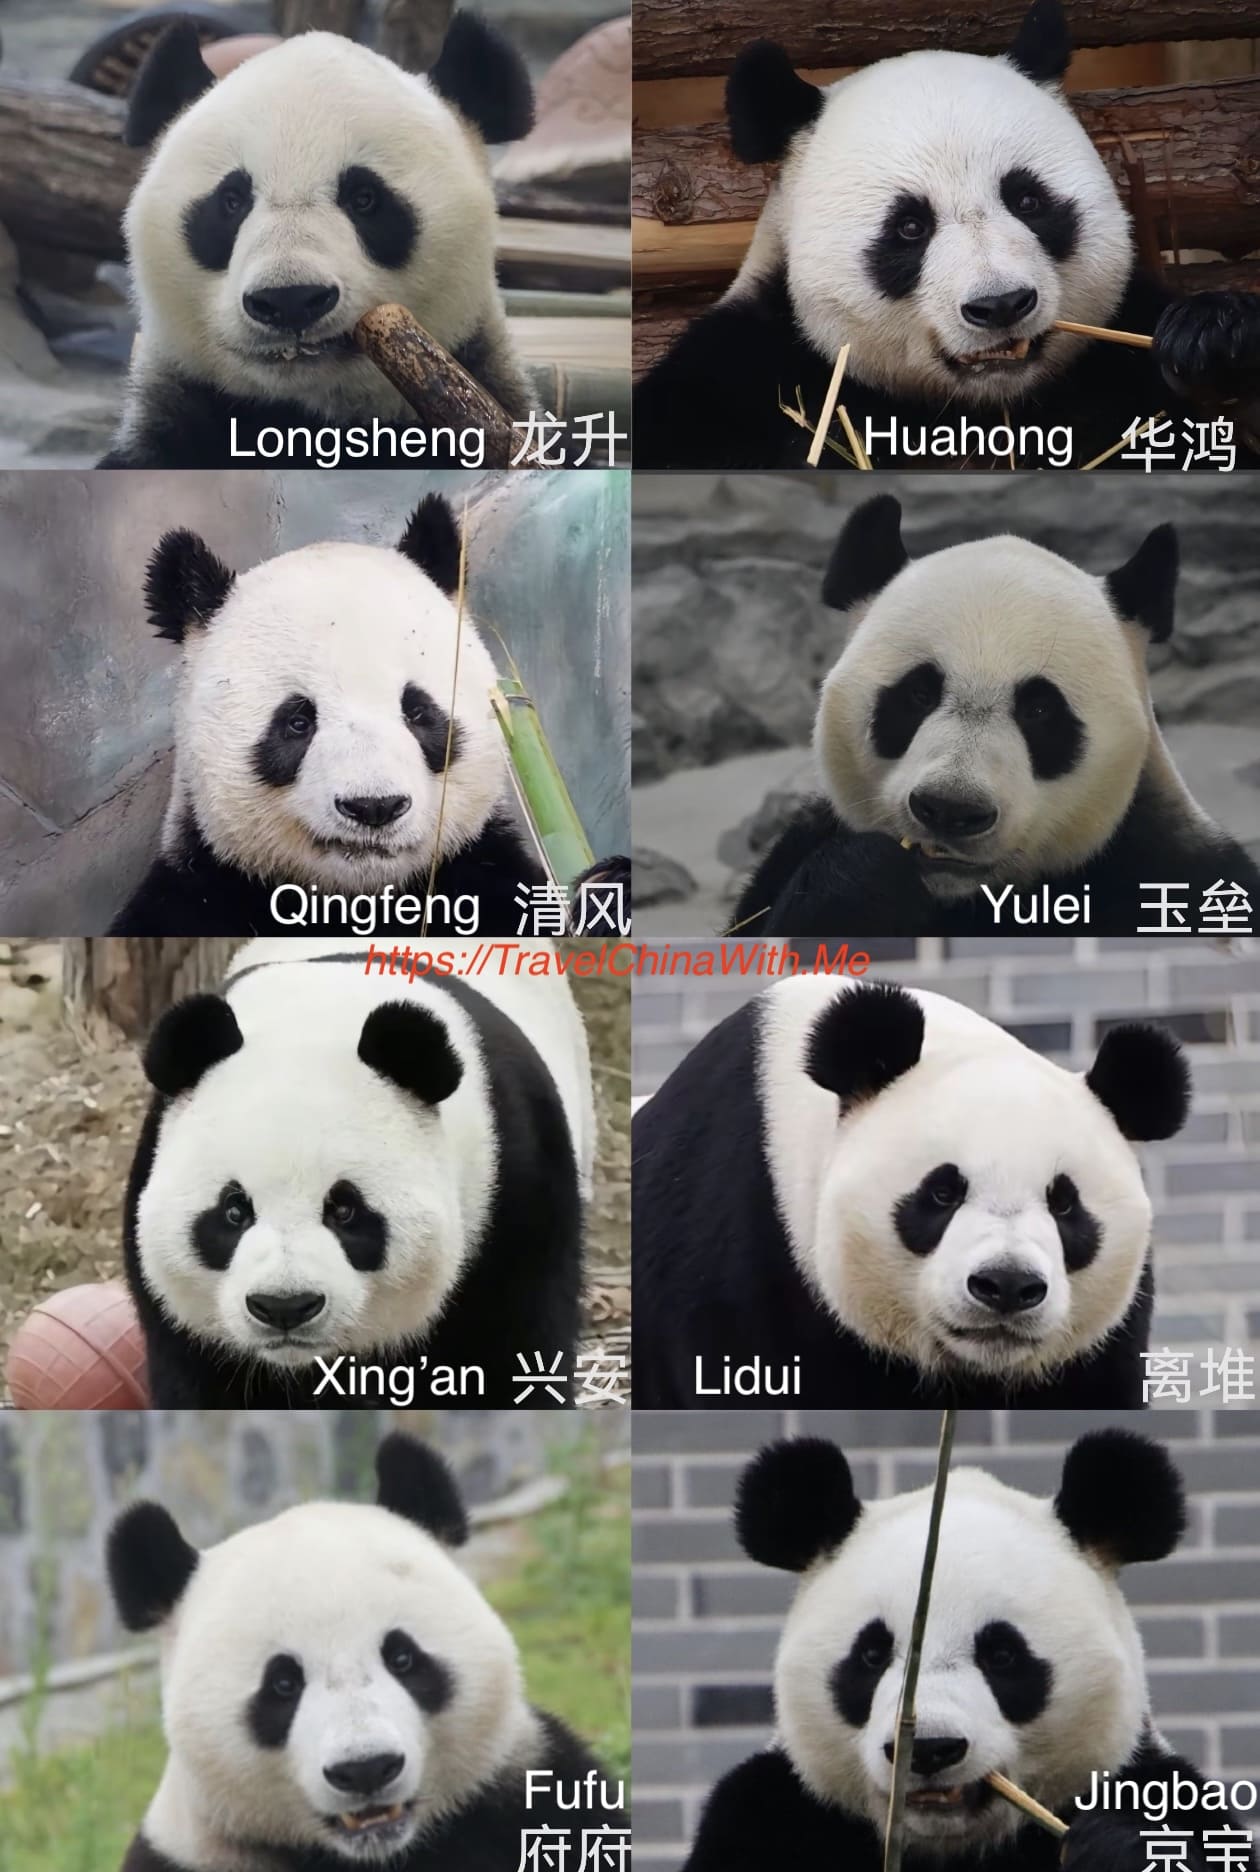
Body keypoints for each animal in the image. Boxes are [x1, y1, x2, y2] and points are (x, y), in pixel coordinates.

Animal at [110, 1432, 620, 1872]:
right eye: (282, 1683)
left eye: (402, 1658)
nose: (365, 1769)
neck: (378, 1854)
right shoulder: (194, 1855)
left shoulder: (530, 1797)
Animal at [111, 493, 554, 938]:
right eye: (298, 722)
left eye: (417, 711)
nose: (374, 807)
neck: (357, 901)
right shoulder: (199, 889)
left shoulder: (489, 873)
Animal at [633, 0, 1260, 470]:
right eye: (910, 228)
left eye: (1027, 200)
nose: (1001, 304)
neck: (971, 414)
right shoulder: (742, 381)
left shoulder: (1116, 354)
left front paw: (1212, 338)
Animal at [680, 1430, 1246, 1872]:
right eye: (871, 1655)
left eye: (1002, 1655)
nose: (931, 1748)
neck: (947, 1848)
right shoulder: (773, 1814)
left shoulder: (1148, 1781)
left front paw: (1117, 1848)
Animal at [732, 495, 1260, 938]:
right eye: (918, 693)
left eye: (1040, 709)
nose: (951, 809)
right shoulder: (793, 853)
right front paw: (864, 880)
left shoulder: (1171, 873)